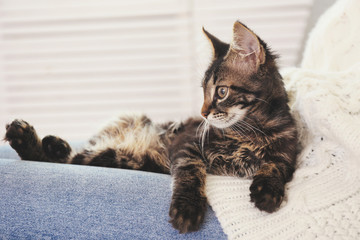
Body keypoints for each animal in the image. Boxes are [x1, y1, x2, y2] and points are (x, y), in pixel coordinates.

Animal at [4, 21, 296, 233]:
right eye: (203, 92)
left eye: (221, 92)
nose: (203, 114)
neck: (249, 132)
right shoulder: (187, 145)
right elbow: (190, 173)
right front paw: (187, 209)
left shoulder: (288, 148)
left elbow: (276, 164)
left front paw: (268, 191)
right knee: (71, 157)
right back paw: (31, 137)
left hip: (127, 159)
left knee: (74, 159)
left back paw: (50, 144)